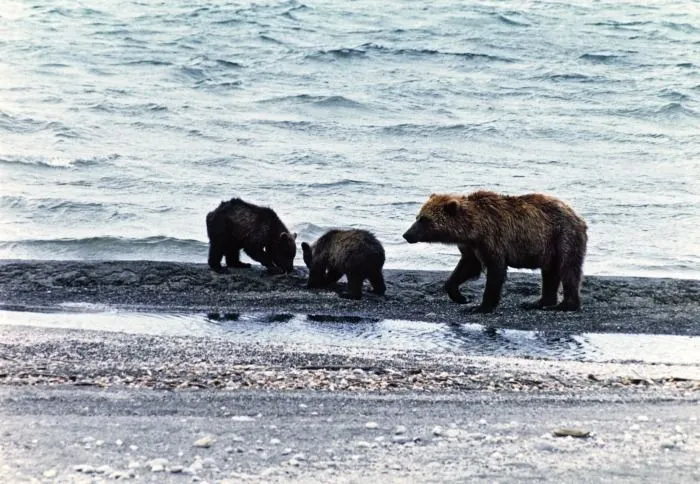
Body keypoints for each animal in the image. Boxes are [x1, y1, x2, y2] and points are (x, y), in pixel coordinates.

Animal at [402, 191, 588, 312]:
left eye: (425, 219)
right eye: (417, 217)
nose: (407, 234)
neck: (473, 228)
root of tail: (578, 215)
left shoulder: (493, 238)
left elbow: (495, 270)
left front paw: (481, 306)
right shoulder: (471, 246)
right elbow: (467, 267)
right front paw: (460, 296)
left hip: (562, 236)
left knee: (568, 268)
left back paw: (566, 305)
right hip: (549, 247)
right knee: (550, 272)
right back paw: (539, 302)